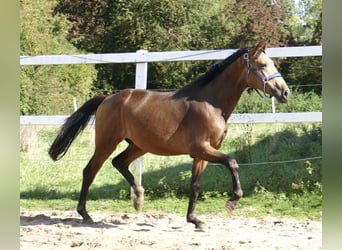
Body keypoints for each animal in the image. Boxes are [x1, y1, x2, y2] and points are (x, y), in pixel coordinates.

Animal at [48, 41, 288, 230]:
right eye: (263, 65)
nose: (285, 92)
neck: (211, 105)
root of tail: (107, 99)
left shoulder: (202, 154)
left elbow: (195, 185)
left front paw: (195, 220)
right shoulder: (202, 148)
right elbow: (233, 162)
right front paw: (232, 202)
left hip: (139, 145)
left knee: (119, 162)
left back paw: (138, 199)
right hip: (107, 142)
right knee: (90, 170)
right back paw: (85, 214)